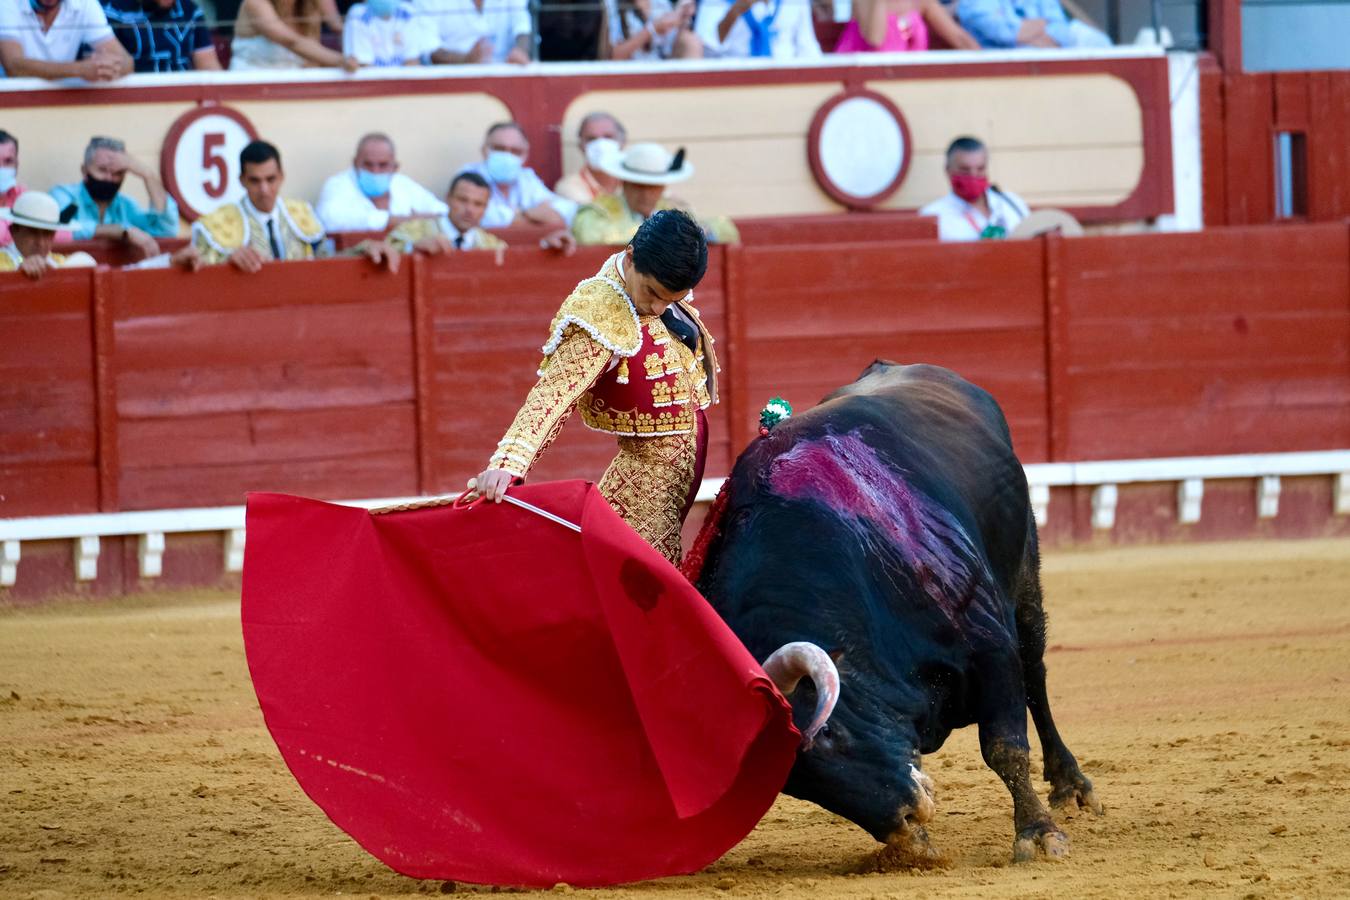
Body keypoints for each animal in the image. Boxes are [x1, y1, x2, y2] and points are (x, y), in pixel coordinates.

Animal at [702, 361, 1101, 863]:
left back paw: (1071, 785)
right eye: (794, 786)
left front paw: (1038, 832)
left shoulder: (990, 645)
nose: (906, 821)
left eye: (829, 735)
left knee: (1036, 676)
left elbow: (1004, 747)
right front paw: (918, 847)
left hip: (1025, 578)